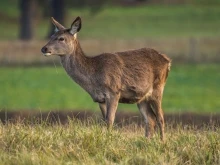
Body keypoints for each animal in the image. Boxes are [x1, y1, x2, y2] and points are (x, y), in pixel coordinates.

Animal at [41, 16, 172, 141]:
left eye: (61, 38)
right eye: (52, 36)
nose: (44, 48)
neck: (94, 76)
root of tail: (167, 61)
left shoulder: (114, 92)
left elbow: (110, 121)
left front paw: (108, 141)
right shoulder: (100, 99)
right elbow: (104, 121)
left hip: (158, 87)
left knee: (160, 117)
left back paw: (162, 142)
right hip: (141, 97)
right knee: (150, 118)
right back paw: (147, 141)